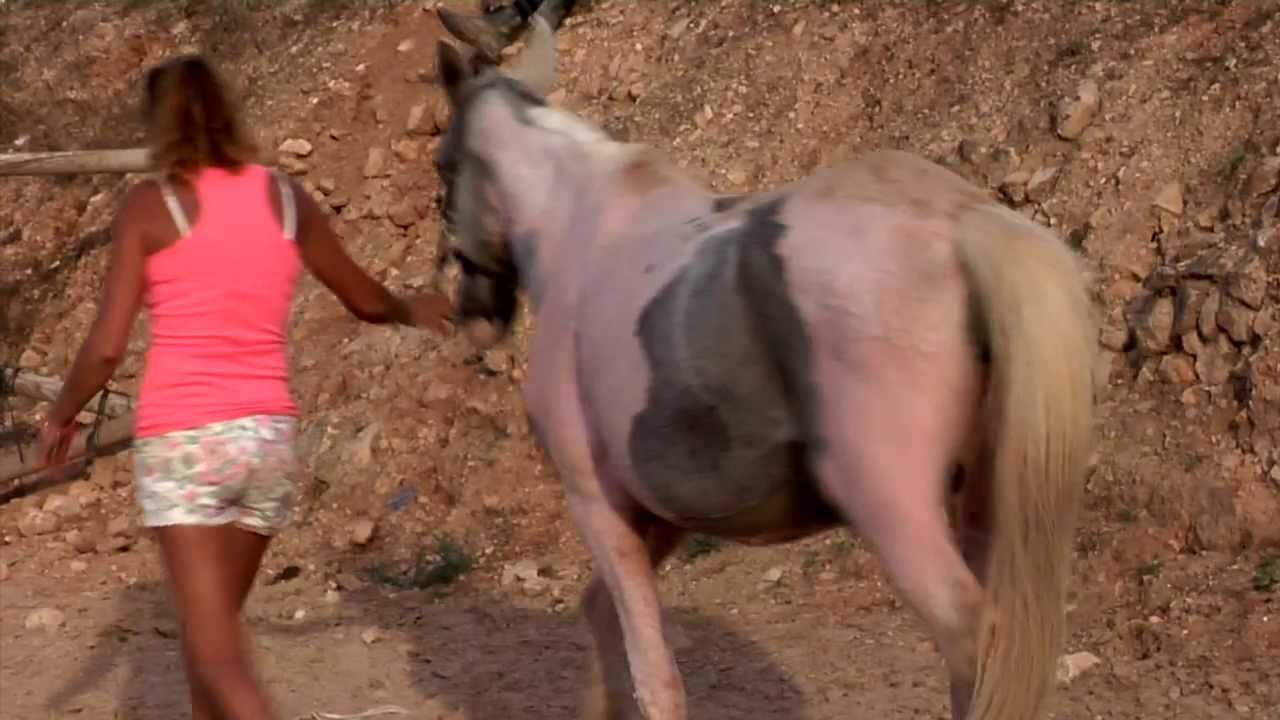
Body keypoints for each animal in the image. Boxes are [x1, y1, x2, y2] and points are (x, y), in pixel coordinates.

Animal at [429, 17, 1098, 720]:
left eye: (443, 165)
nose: (474, 315)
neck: (578, 229)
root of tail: (963, 223)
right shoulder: (658, 516)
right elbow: (604, 623)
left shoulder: (596, 504)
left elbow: (653, 674)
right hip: (983, 503)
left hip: (899, 514)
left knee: (972, 640)